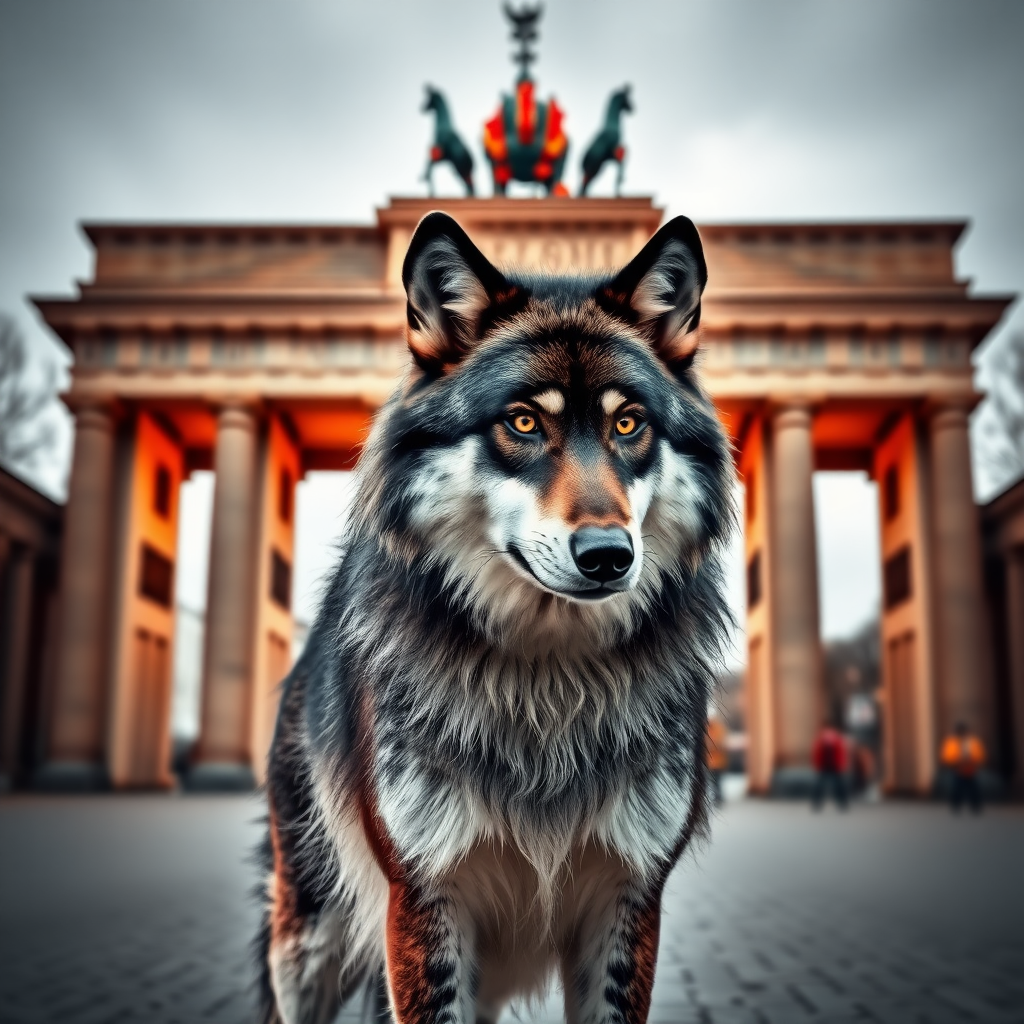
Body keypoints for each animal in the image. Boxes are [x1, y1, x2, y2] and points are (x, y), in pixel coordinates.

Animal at [258, 209, 737, 1024]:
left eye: (629, 425)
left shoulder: (628, 898)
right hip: (311, 941)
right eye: (522, 422)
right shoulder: (425, 897)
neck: (548, 684)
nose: (608, 555)